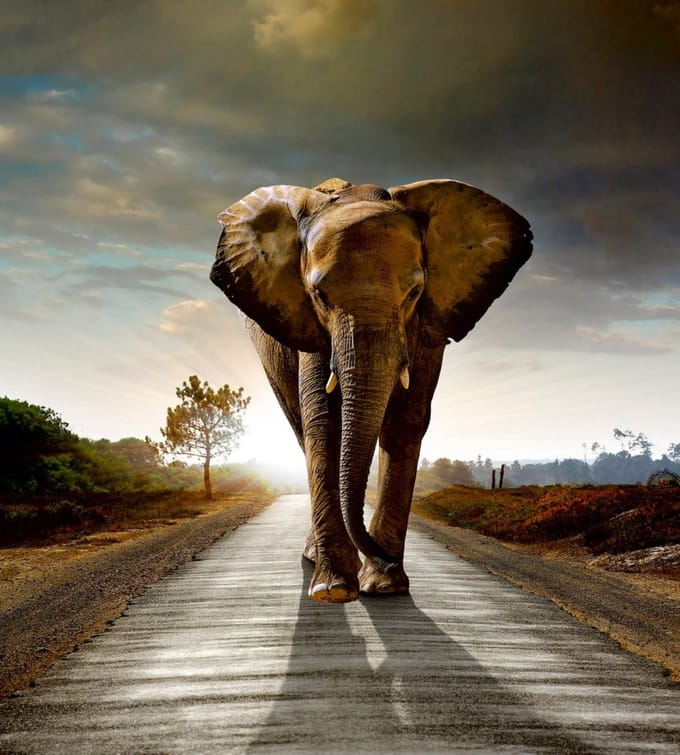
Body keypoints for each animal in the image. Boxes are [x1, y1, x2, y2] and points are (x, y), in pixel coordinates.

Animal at [210, 177, 532, 604]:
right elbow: (324, 421)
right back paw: (317, 561)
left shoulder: (428, 324)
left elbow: (406, 421)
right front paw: (334, 590)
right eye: (319, 296)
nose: (384, 559)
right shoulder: (310, 326)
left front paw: (385, 586)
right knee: (301, 427)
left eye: (414, 293)